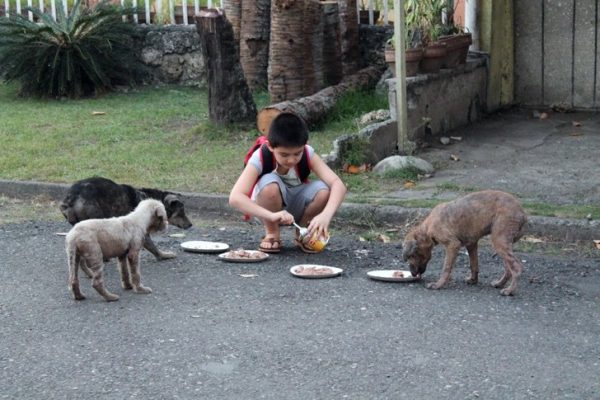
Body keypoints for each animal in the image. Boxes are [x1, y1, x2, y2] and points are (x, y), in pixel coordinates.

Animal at [59, 177, 192, 260]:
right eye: (181, 212)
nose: (191, 225)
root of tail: (72, 198)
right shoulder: (141, 232)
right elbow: (152, 247)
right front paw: (163, 255)